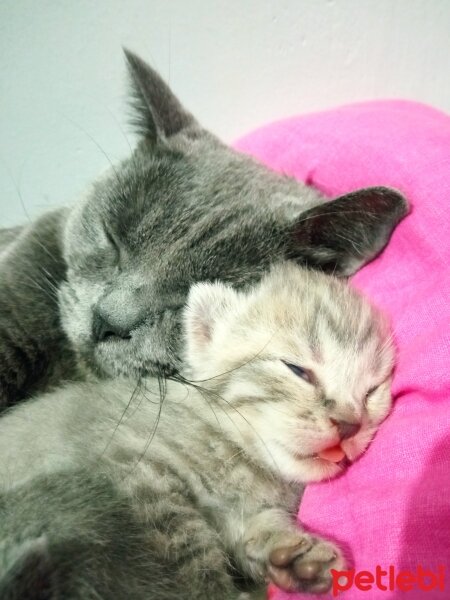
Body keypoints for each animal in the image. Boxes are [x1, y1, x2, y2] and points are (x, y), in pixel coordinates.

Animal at [0, 262, 394, 600]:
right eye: (297, 370)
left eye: (371, 391)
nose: (350, 424)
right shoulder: (139, 475)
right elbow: (187, 560)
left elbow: (255, 526)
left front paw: (292, 552)